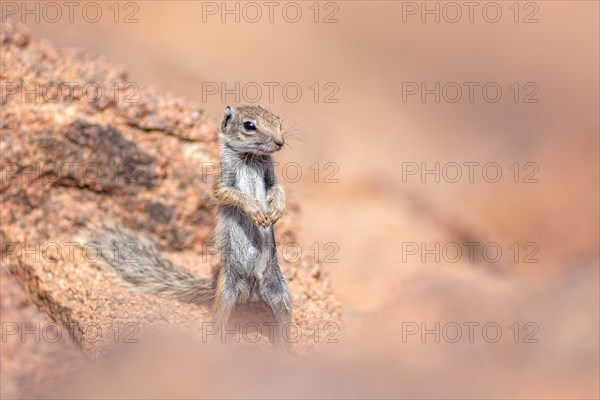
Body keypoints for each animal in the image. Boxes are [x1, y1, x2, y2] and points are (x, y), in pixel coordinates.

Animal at [78, 105, 292, 350]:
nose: (280, 142)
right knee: (218, 323)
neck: (251, 158)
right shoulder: (223, 179)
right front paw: (255, 208)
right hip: (226, 295)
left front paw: (276, 210)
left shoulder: (270, 176)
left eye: (279, 122)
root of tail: (251, 292)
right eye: (249, 125)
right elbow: (229, 193)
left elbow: (277, 189)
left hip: (280, 293)